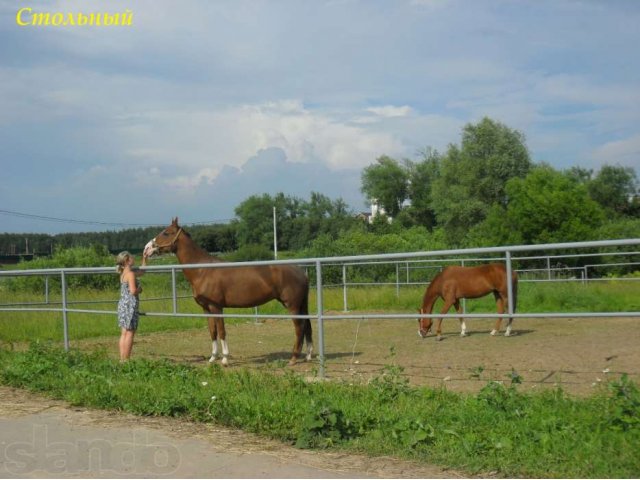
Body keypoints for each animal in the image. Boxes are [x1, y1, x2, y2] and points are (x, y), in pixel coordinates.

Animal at [146, 219, 316, 366]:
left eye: (166, 233)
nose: (147, 249)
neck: (202, 270)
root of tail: (301, 272)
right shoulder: (206, 309)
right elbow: (212, 332)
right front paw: (212, 358)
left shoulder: (216, 307)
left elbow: (222, 332)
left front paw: (225, 359)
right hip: (301, 305)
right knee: (307, 326)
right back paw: (308, 356)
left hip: (292, 306)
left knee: (299, 328)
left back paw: (293, 358)